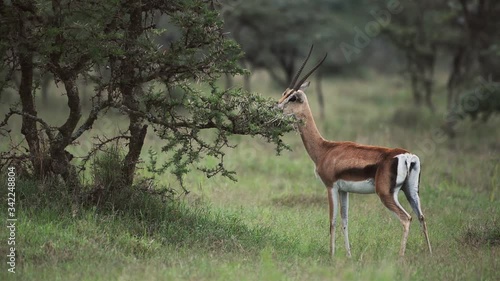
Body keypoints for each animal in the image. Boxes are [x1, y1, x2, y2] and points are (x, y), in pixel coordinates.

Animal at [278, 45, 434, 256]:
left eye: (293, 97)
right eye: (285, 92)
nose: (276, 106)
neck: (325, 149)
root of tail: (407, 156)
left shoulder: (331, 187)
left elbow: (332, 222)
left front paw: (332, 255)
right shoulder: (345, 190)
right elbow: (345, 221)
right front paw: (349, 255)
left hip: (386, 194)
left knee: (406, 219)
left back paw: (400, 257)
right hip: (411, 191)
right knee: (421, 218)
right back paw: (430, 255)